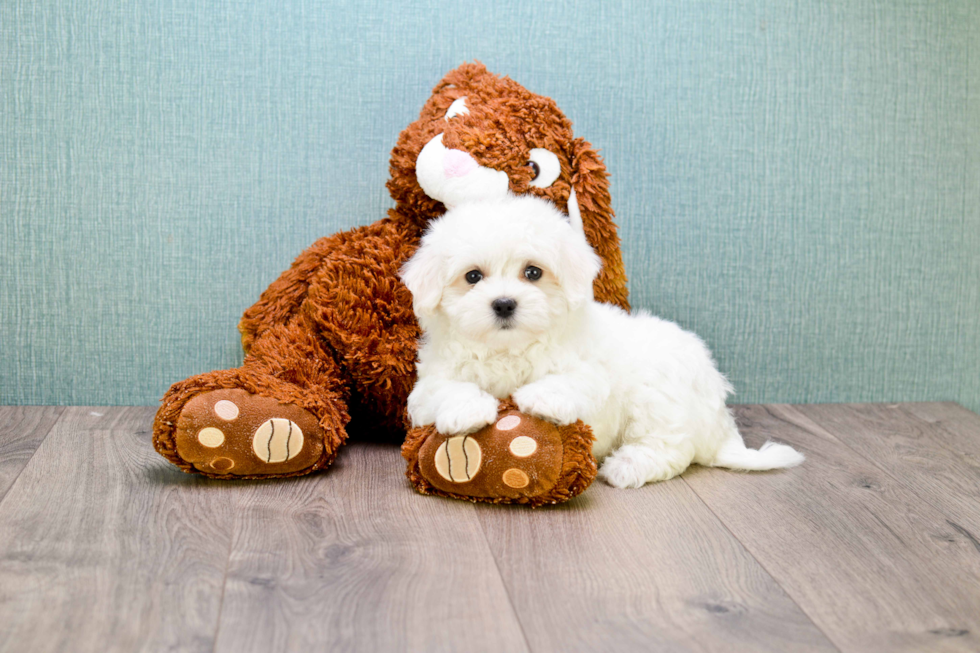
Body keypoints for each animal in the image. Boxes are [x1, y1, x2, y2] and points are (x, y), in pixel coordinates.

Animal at [398, 196, 804, 486]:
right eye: (472, 277)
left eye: (533, 272)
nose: (504, 303)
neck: (509, 348)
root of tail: (720, 426)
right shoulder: (430, 382)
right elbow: (443, 390)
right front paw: (467, 408)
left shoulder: (591, 374)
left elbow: (572, 382)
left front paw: (539, 397)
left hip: (660, 394)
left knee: (670, 447)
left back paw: (628, 466)